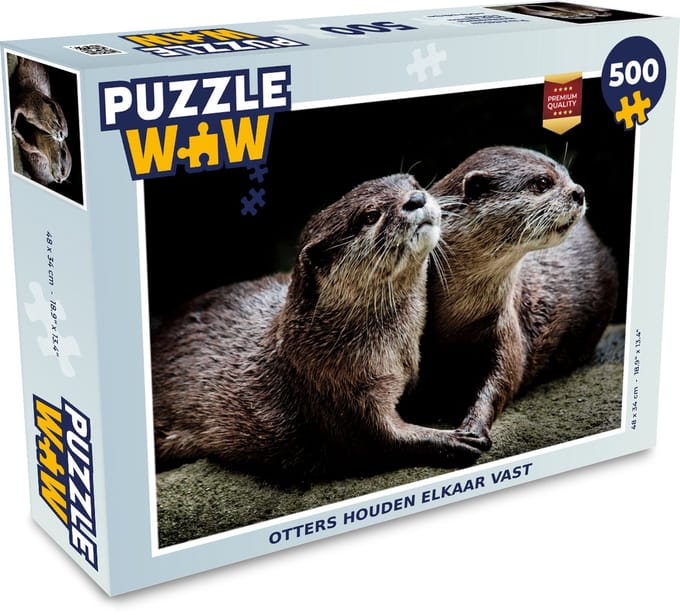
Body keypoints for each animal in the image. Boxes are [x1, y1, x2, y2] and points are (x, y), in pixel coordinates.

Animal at [9, 56, 71, 185]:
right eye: (59, 122)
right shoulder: (25, 102)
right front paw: (13, 124)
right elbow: (16, 110)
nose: (59, 180)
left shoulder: (36, 149)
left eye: (64, 177)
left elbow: (27, 146)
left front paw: (16, 132)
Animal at [152, 174, 482, 482]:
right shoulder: (336, 389)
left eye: (413, 184)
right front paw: (451, 439)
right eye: (370, 216)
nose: (416, 198)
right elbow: (380, 440)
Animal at [400, 146, 618, 457]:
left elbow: (503, 378)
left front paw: (474, 428)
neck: (457, 317)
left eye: (567, 174)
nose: (579, 191)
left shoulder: (506, 325)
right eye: (542, 182)